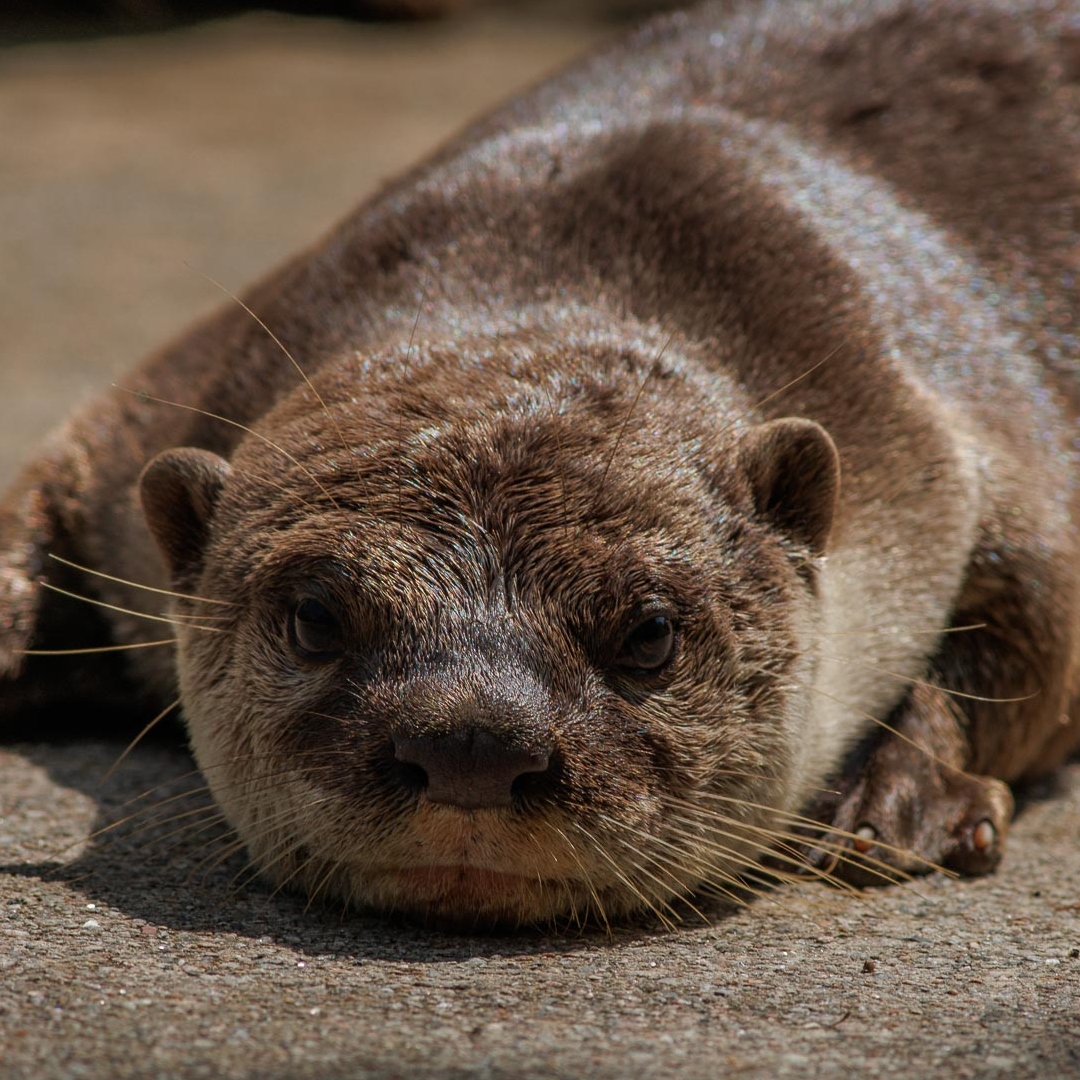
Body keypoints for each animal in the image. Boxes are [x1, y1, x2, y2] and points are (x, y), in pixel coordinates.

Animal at [2, 0, 1079, 929]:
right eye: (314, 618)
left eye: (649, 634)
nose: (471, 745)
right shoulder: (160, 406)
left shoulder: (957, 405)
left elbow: (1034, 628)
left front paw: (903, 795)